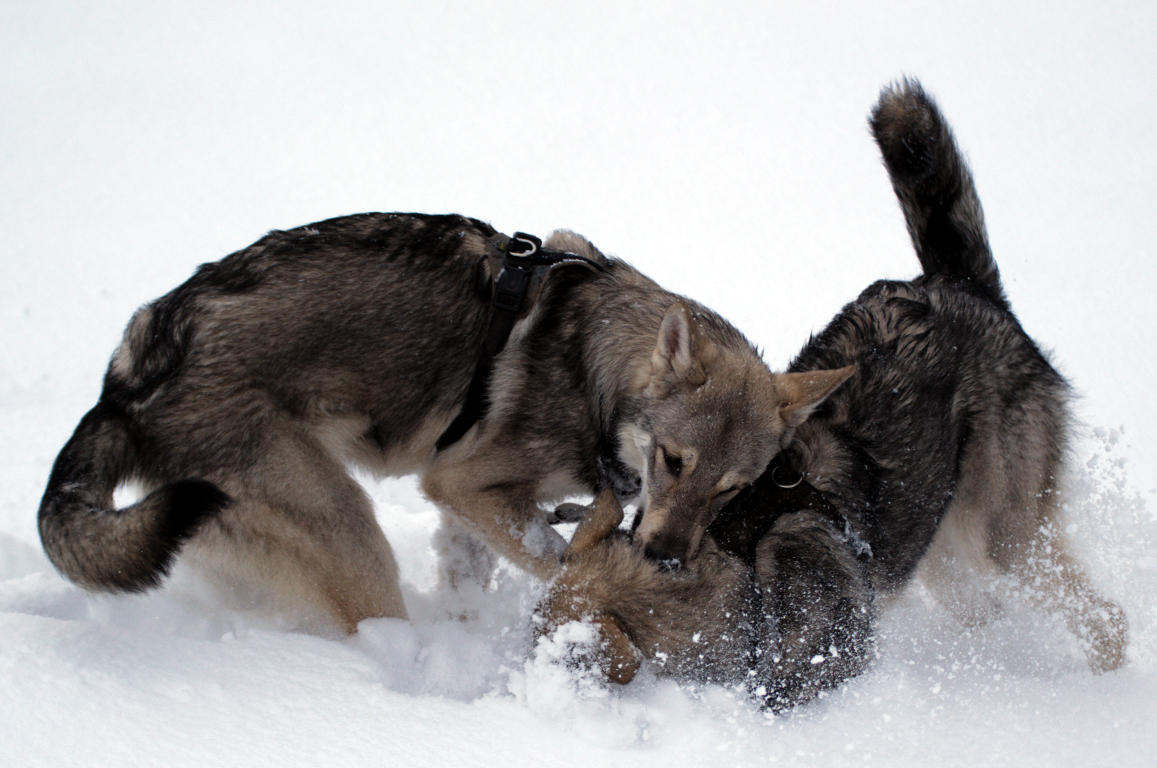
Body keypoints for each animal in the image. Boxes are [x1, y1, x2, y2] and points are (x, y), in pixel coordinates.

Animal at [37, 212, 852, 632]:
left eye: (732, 488)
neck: (595, 368)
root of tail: (125, 382)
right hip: (347, 527)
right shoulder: (463, 485)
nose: (669, 560)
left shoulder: (466, 506)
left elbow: (478, 575)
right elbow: (560, 559)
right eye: (673, 461)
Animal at [537, 79, 1128, 708]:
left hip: (1003, 540)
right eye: (671, 461)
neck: (743, 576)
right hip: (934, 546)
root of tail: (962, 286)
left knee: (1108, 621)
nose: (663, 556)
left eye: (734, 486)